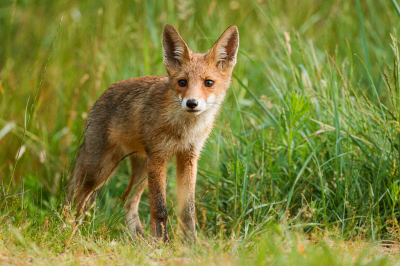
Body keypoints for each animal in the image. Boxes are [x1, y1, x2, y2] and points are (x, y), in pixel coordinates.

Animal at [68, 23, 241, 242]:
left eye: (208, 83)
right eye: (182, 82)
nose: (192, 103)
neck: (183, 131)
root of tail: (100, 97)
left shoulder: (188, 157)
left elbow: (187, 210)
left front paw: (190, 243)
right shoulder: (159, 157)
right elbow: (160, 209)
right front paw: (161, 242)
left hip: (141, 169)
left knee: (127, 200)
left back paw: (139, 239)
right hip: (100, 169)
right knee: (76, 196)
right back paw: (69, 230)